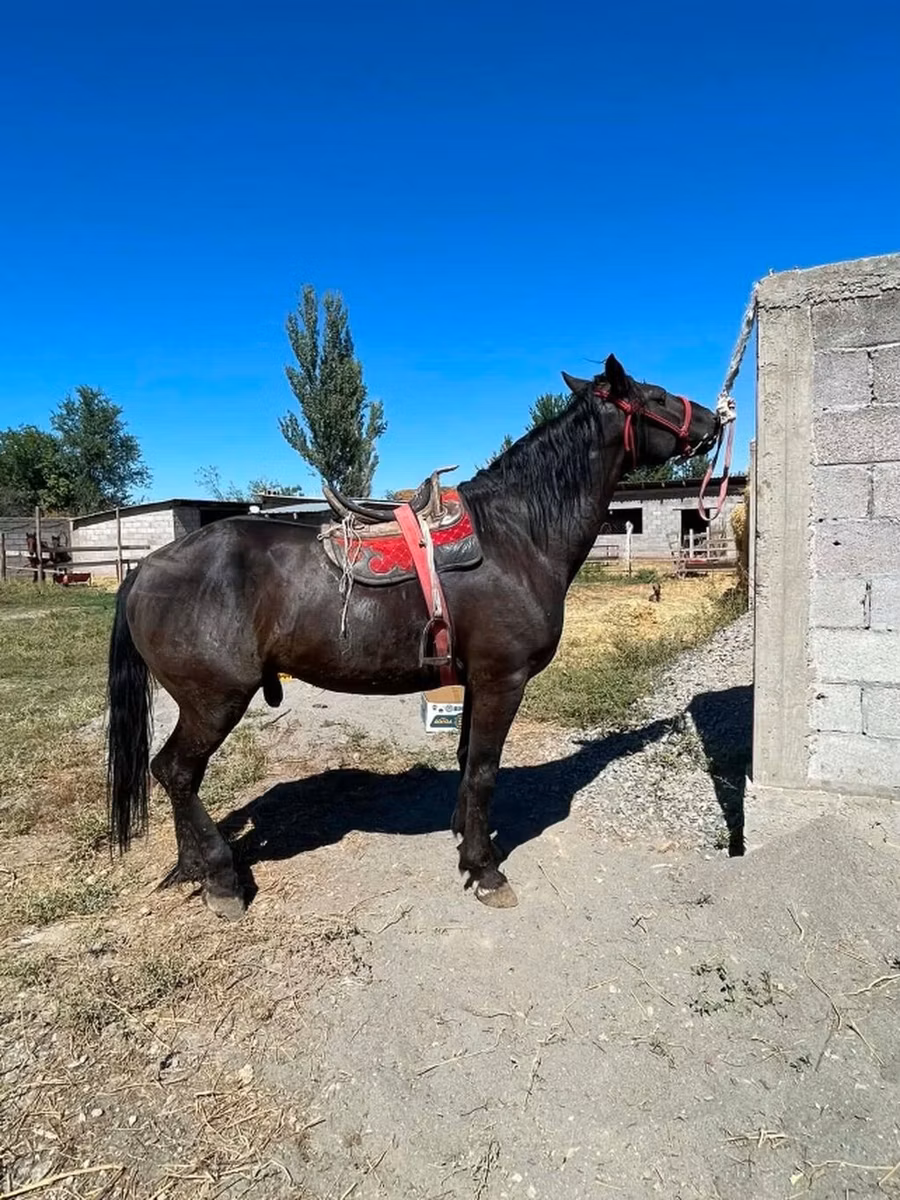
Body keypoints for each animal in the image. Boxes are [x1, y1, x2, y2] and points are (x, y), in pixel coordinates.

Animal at [106, 354, 722, 920]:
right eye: (657, 396)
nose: (715, 420)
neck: (516, 535)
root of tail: (147, 567)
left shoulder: (476, 682)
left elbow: (467, 758)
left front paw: (467, 840)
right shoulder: (503, 680)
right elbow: (484, 771)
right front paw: (484, 869)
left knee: (178, 777)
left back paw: (194, 868)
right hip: (214, 701)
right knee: (176, 772)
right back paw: (221, 879)